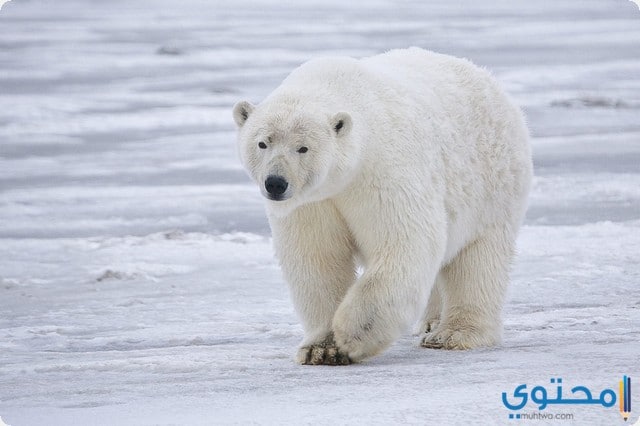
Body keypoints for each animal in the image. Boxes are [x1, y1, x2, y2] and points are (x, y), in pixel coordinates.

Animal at [232, 47, 532, 366]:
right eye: (262, 143)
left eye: (303, 148)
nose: (276, 183)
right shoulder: (312, 202)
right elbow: (317, 259)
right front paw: (320, 348)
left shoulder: (382, 171)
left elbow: (404, 242)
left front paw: (352, 335)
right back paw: (430, 322)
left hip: (492, 185)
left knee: (478, 260)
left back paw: (452, 334)